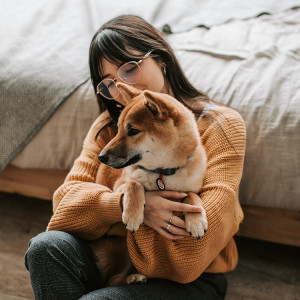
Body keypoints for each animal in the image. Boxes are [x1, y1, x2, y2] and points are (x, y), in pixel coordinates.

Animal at [92, 82, 209, 286]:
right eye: (119, 128)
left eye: (133, 131)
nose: (101, 157)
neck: (162, 172)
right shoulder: (119, 185)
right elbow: (134, 185)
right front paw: (133, 214)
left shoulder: (191, 187)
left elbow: (191, 195)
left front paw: (196, 220)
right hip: (122, 247)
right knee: (112, 281)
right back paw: (133, 278)